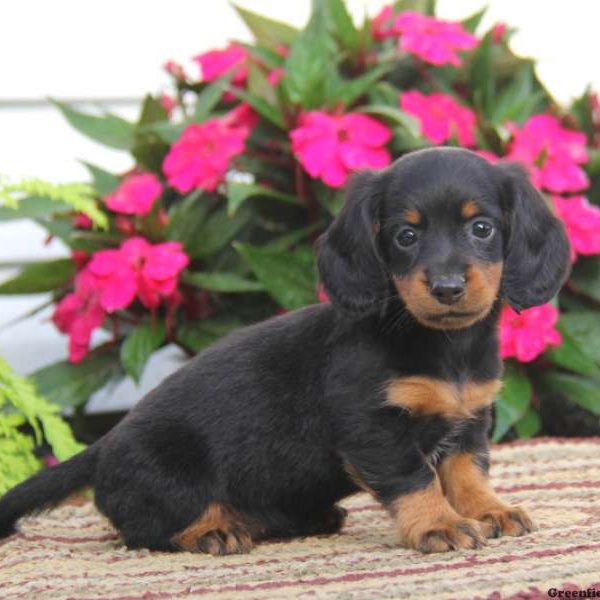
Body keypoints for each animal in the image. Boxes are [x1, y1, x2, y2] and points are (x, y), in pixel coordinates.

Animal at [0, 146, 568, 552]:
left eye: (482, 227)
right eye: (406, 236)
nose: (448, 288)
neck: (445, 346)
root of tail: (103, 445)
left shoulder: (469, 418)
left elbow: (466, 472)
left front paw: (488, 510)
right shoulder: (374, 427)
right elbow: (416, 479)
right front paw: (438, 525)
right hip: (167, 475)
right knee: (143, 526)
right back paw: (210, 530)